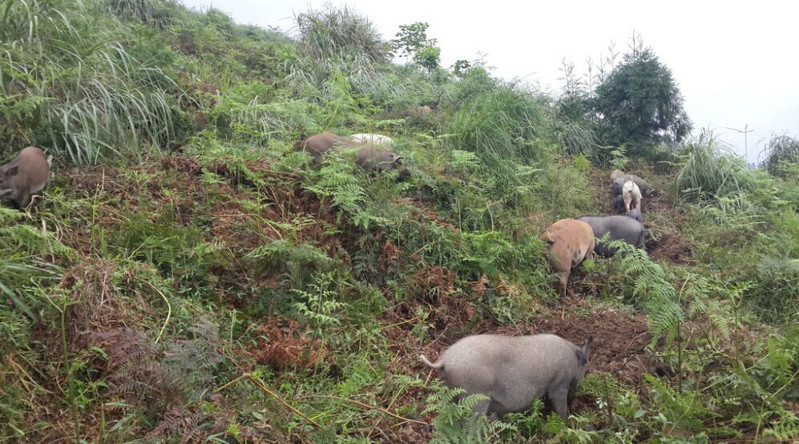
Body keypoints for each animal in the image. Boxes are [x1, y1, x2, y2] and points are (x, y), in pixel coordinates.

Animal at [418, 334, 592, 418]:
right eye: (585, 365)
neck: (572, 358)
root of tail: (444, 360)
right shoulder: (560, 385)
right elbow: (561, 407)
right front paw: (568, 420)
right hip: (476, 396)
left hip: (450, 392)